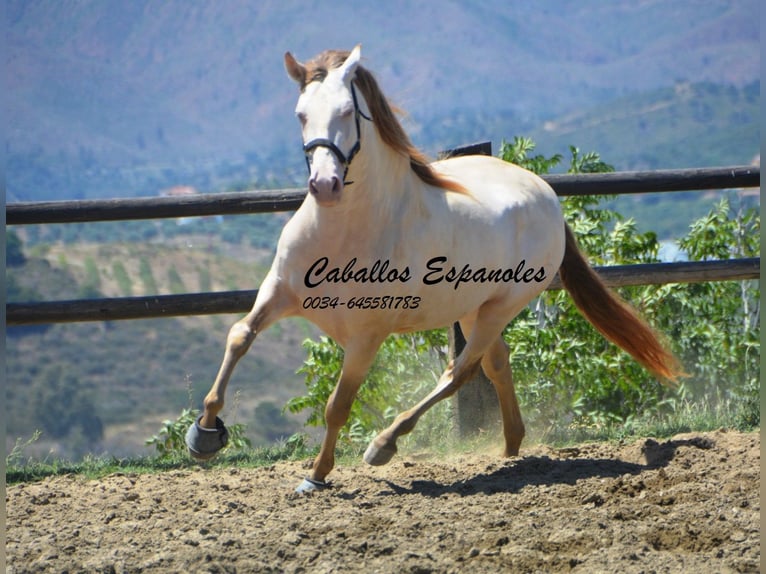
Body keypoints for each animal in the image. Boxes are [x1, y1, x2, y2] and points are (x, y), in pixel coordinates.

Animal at [188, 46, 684, 496]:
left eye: (347, 111)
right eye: (300, 115)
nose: (325, 186)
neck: (348, 228)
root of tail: (545, 195)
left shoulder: (366, 337)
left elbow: (337, 406)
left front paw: (316, 475)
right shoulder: (276, 292)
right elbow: (239, 336)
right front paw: (205, 434)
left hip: (501, 307)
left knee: (461, 371)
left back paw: (385, 445)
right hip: (471, 308)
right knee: (496, 362)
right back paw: (510, 447)